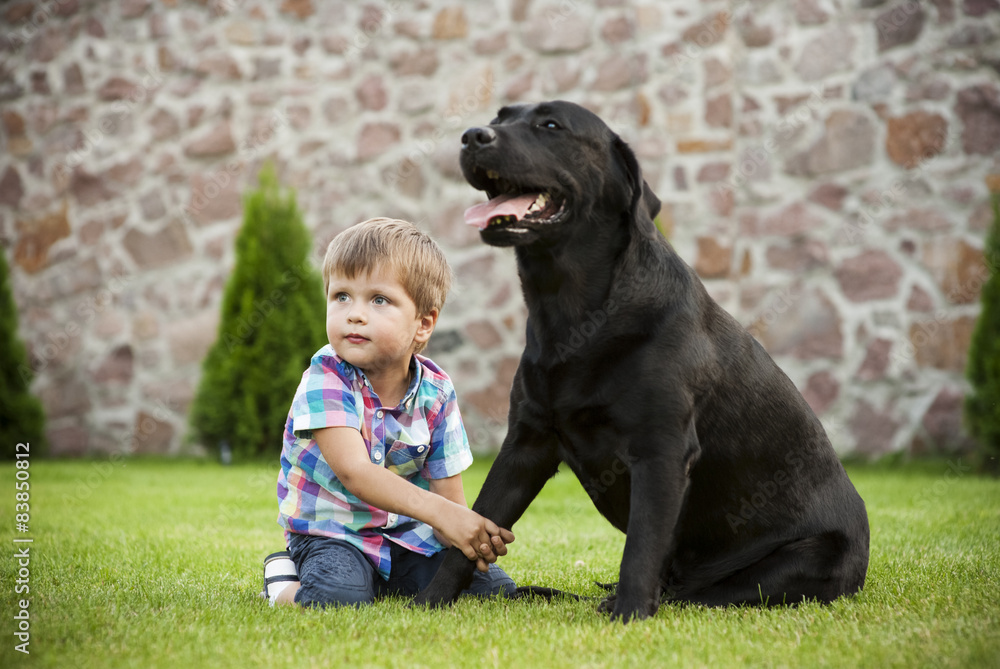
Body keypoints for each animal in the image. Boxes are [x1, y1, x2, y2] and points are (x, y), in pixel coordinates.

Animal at [414, 99, 868, 620]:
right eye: (500, 117)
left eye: (551, 125)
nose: (473, 136)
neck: (571, 312)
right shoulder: (525, 443)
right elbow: (471, 529)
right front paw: (428, 602)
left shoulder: (661, 450)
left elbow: (643, 544)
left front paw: (630, 612)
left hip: (800, 559)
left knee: (700, 594)